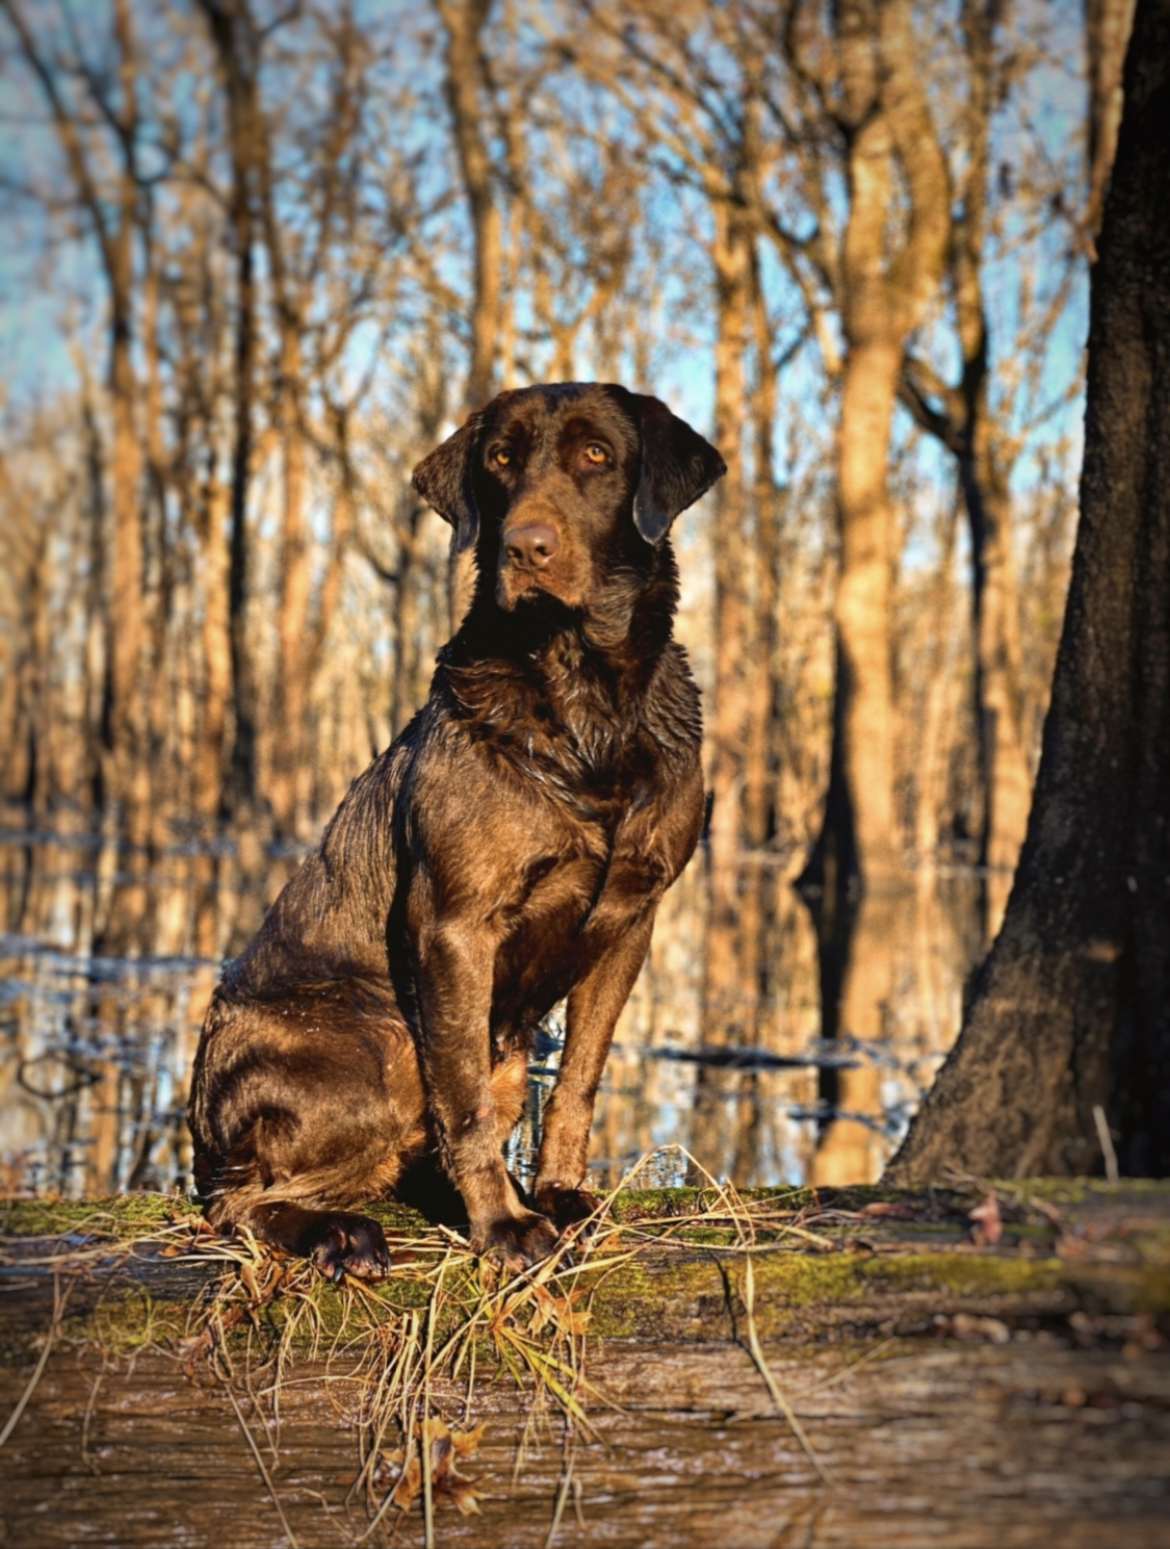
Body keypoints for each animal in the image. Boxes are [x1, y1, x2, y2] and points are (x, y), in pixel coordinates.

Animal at [186, 381, 722, 1276]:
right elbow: (464, 1106)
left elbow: (579, 1077)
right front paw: (504, 1225)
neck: (586, 706)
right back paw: (338, 1232)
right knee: (238, 1201)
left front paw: (561, 1193)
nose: (526, 546)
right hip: (382, 1044)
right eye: (501, 459)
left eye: (598, 455)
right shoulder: (455, 923)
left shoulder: (632, 919)